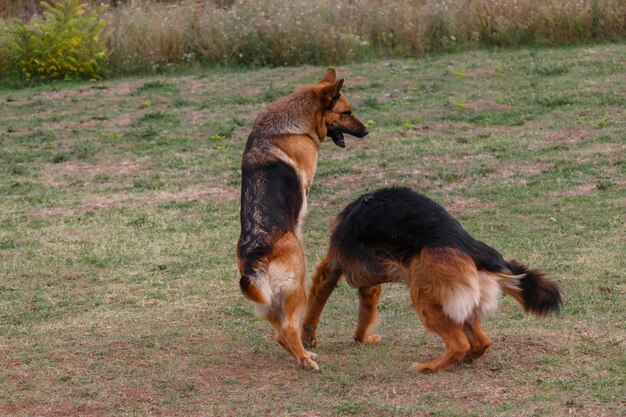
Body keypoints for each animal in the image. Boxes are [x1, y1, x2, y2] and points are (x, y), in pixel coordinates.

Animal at [236, 69, 368, 370]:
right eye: (347, 113)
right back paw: (307, 360)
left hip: (269, 301)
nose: (366, 131)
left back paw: (303, 355)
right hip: (297, 288)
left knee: (280, 334)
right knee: (288, 330)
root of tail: (254, 255)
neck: (290, 126)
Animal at [302, 187, 560, 372]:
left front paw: (308, 338)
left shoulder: (331, 267)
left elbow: (315, 305)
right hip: (455, 301)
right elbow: (366, 311)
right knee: (480, 343)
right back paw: (465, 359)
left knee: (459, 345)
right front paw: (361, 338)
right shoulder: (369, 284)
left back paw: (429, 367)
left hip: (425, 297)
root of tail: (470, 246)